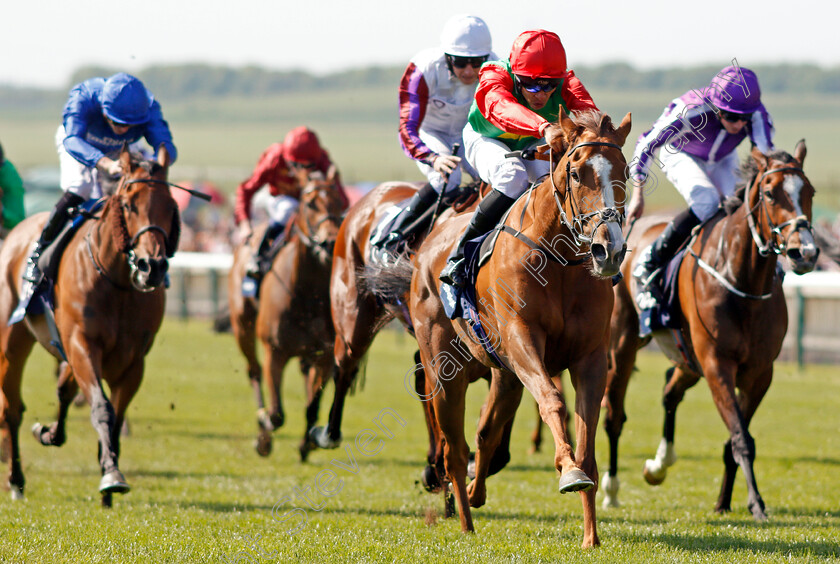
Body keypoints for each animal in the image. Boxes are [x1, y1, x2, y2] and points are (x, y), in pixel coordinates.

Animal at [0, 145, 180, 506]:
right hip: (12, 338)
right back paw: (16, 479)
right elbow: (102, 407)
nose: (151, 267)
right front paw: (111, 475)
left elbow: (115, 415)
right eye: (129, 204)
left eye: (170, 205)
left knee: (63, 390)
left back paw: (49, 434)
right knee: (12, 409)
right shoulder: (82, 343)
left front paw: (108, 470)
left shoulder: (133, 361)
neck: (117, 282)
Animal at [226, 166, 344, 458]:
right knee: (254, 371)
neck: (307, 294)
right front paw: (264, 433)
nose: (330, 242)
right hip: (242, 326)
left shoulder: (324, 354)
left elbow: (312, 405)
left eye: (341, 202)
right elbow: (276, 413)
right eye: (310, 203)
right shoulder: (275, 351)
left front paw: (308, 442)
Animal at [406, 110, 632, 548]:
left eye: (625, 171)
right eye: (576, 173)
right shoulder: (522, 340)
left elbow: (587, 438)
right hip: (445, 371)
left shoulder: (590, 357)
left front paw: (591, 536)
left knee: (484, 434)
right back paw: (465, 521)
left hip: (504, 375)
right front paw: (568, 471)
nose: (608, 250)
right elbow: (552, 401)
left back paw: (476, 493)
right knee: (454, 450)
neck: (559, 262)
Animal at [604, 142, 820, 520]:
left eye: (809, 192)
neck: (742, 281)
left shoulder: (759, 372)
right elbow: (741, 438)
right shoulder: (718, 363)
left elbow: (735, 437)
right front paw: (757, 504)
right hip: (624, 344)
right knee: (615, 416)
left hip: (689, 358)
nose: (804, 252)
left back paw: (659, 465)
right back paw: (612, 490)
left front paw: (725, 501)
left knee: (669, 391)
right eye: (769, 193)